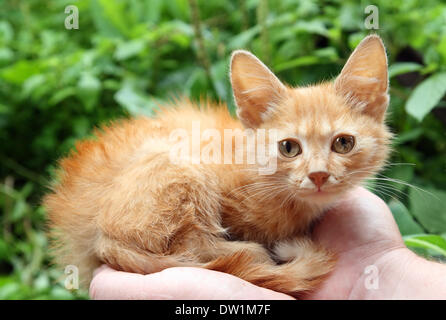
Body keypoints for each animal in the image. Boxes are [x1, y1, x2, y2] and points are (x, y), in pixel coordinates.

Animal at [43, 33, 392, 296]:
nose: (318, 175)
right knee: (188, 244)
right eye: (289, 147)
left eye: (343, 143)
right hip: (181, 167)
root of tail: (99, 235)